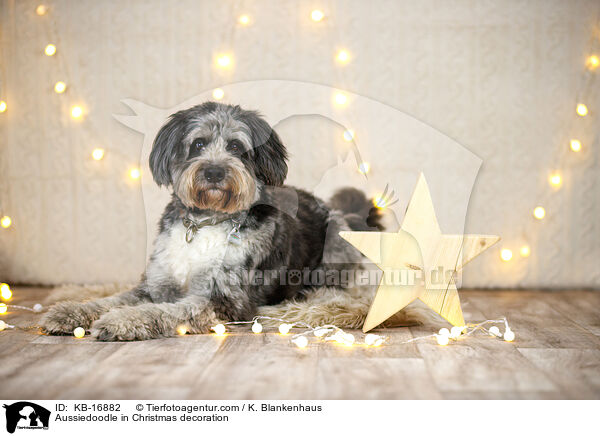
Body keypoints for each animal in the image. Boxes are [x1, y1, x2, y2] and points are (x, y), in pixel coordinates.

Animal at [41, 103, 380, 340]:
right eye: (199, 144)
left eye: (235, 146)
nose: (214, 172)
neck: (206, 222)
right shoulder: (155, 283)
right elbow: (110, 299)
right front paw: (69, 311)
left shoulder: (223, 300)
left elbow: (167, 310)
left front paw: (122, 321)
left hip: (336, 239)